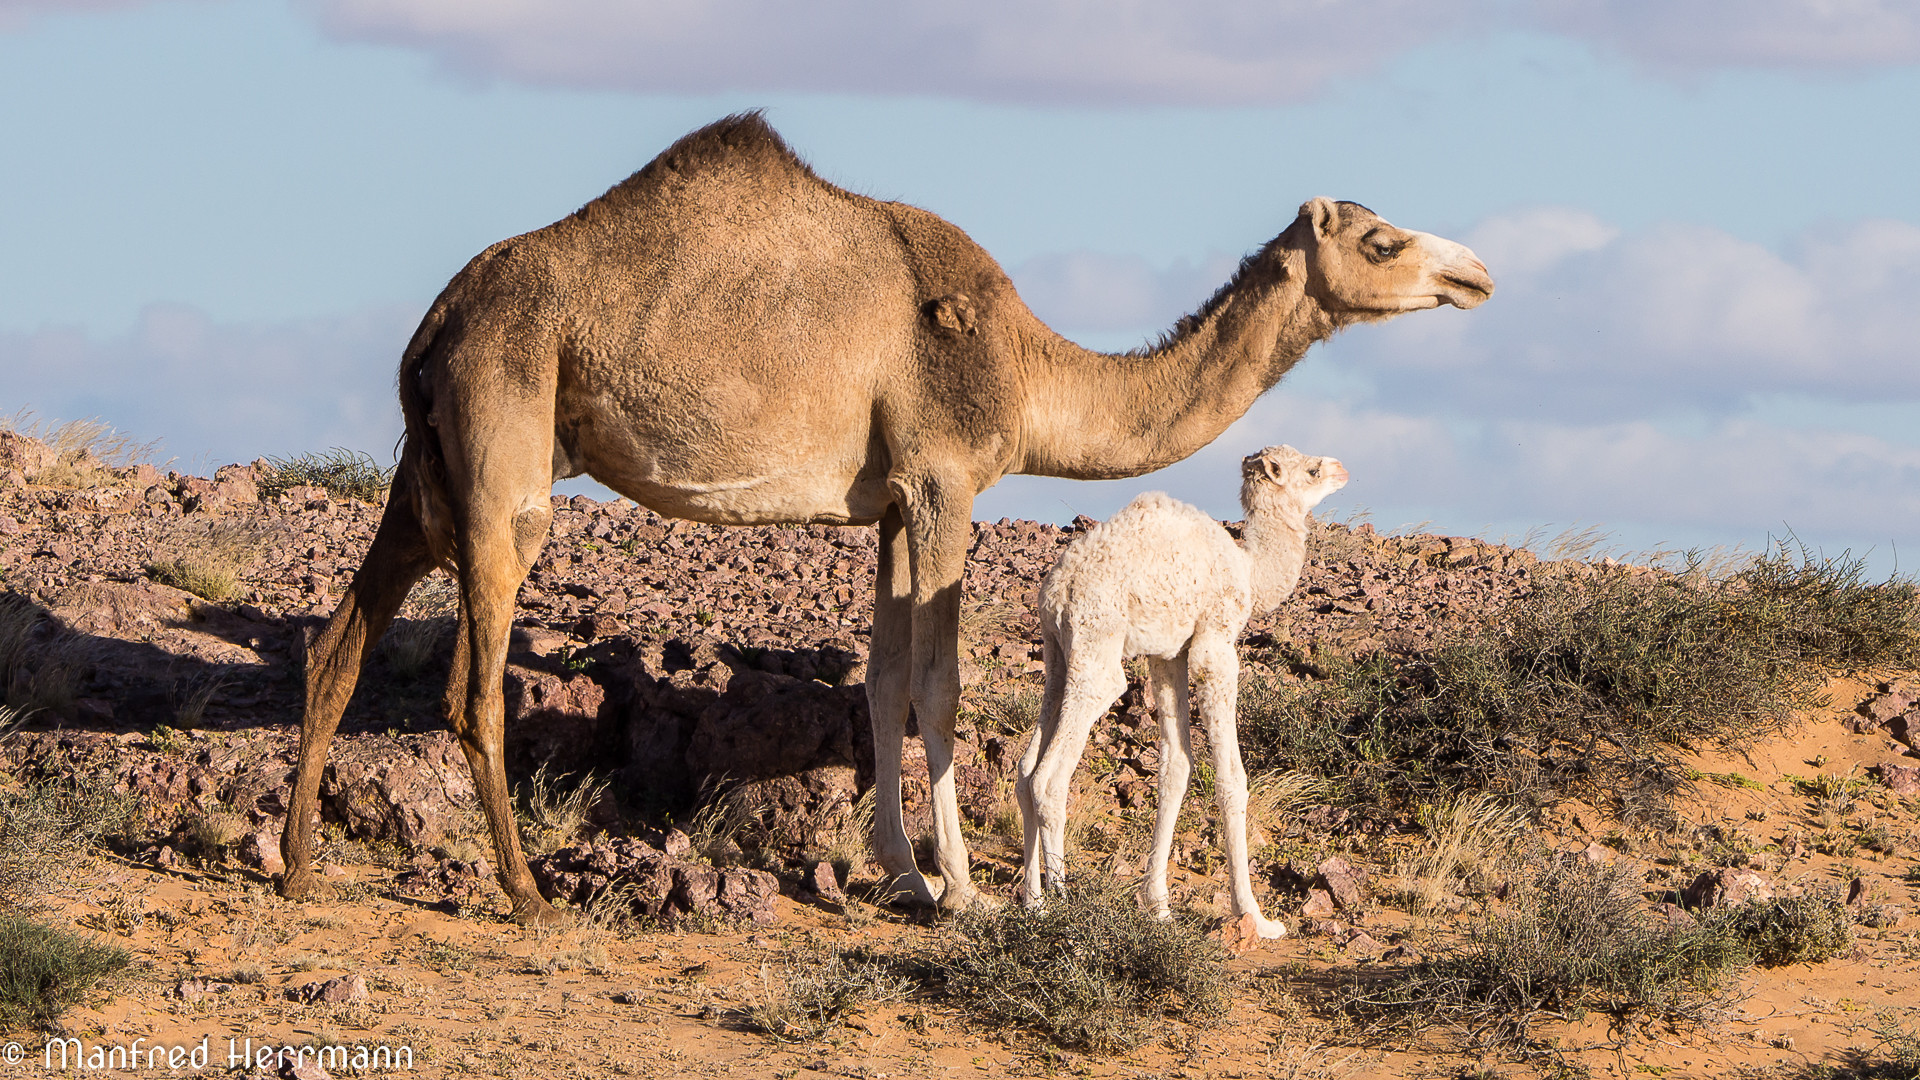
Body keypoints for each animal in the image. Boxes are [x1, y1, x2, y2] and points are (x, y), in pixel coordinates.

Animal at [278, 111, 1489, 914]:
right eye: (1381, 240)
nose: (1474, 273)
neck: (1030, 368)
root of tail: (438, 321)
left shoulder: (895, 498)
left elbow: (884, 676)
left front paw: (904, 871)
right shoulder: (948, 476)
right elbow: (941, 688)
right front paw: (965, 891)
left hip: (426, 468)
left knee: (341, 638)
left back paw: (295, 864)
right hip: (504, 450)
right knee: (471, 685)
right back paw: (527, 895)